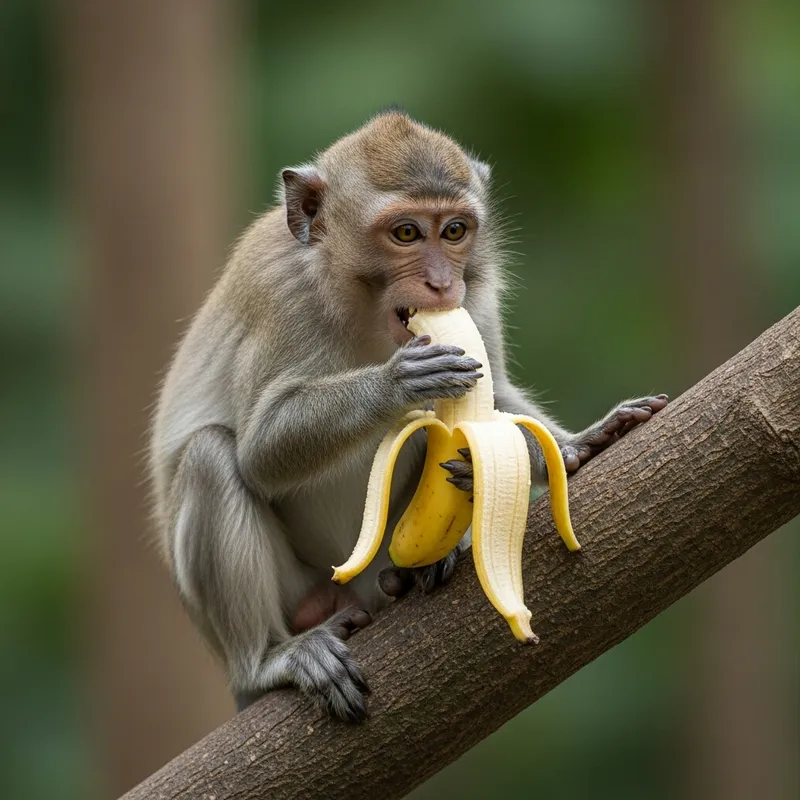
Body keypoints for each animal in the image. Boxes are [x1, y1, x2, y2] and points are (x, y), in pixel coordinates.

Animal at [148, 109, 667, 723]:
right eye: (405, 234)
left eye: (454, 231)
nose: (442, 284)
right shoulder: (281, 294)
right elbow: (261, 454)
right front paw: (396, 383)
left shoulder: (477, 297)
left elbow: (493, 396)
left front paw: (573, 445)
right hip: (293, 593)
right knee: (209, 455)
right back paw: (270, 658)